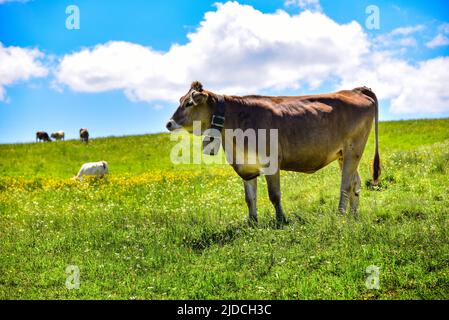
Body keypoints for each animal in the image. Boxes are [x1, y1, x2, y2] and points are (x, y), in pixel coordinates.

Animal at [166, 81, 380, 224]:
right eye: (181, 100)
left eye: (189, 103)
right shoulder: (246, 167)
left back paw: (341, 214)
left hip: (354, 149)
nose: (169, 123)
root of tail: (355, 90)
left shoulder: (271, 162)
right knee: (355, 182)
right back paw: (354, 215)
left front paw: (280, 220)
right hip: (343, 154)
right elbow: (249, 198)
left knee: (345, 184)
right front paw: (252, 223)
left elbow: (274, 195)